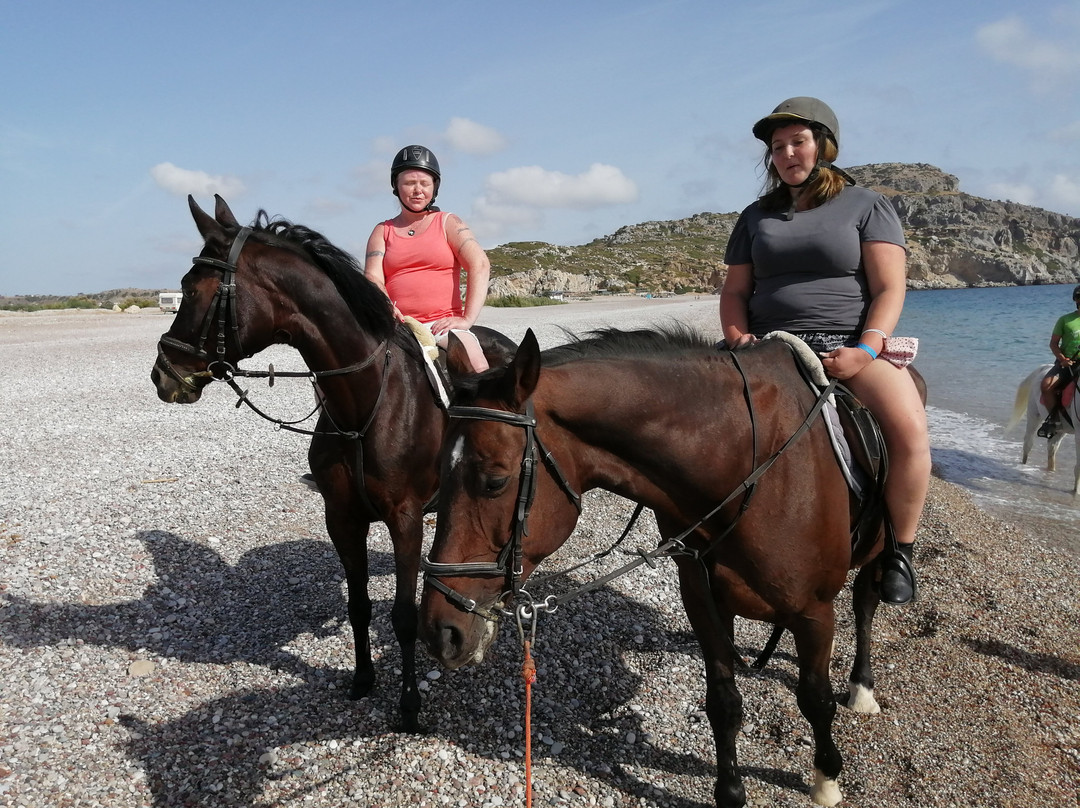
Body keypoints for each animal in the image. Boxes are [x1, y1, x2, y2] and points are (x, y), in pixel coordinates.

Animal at [151, 195, 516, 732]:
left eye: (192, 290)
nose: (163, 374)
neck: (365, 403)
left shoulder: (405, 520)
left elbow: (404, 617)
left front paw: (409, 705)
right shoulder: (342, 518)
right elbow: (358, 605)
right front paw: (363, 679)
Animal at [419, 327, 909, 808]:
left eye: (495, 481)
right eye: (438, 474)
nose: (440, 632)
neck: (748, 466)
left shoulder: (814, 612)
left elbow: (816, 699)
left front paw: (826, 779)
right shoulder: (703, 600)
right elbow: (723, 702)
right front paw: (730, 792)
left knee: (865, 606)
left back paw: (862, 687)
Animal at [1008, 363, 1080, 495]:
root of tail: (1044, 367)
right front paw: (1076, 492)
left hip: (1061, 429)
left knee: (1051, 447)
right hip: (1033, 415)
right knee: (1028, 443)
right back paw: (1024, 466)